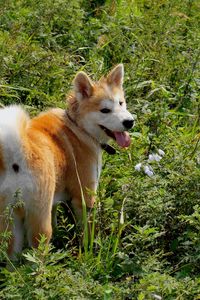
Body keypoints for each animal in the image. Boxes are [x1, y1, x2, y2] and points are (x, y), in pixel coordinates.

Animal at [0, 64, 134, 258]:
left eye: (121, 103)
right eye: (105, 110)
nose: (130, 122)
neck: (78, 127)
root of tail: (16, 154)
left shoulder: (54, 200)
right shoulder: (85, 198)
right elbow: (87, 231)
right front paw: (89, 251)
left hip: (10, 222)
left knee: (11, 255)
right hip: (39, 222)